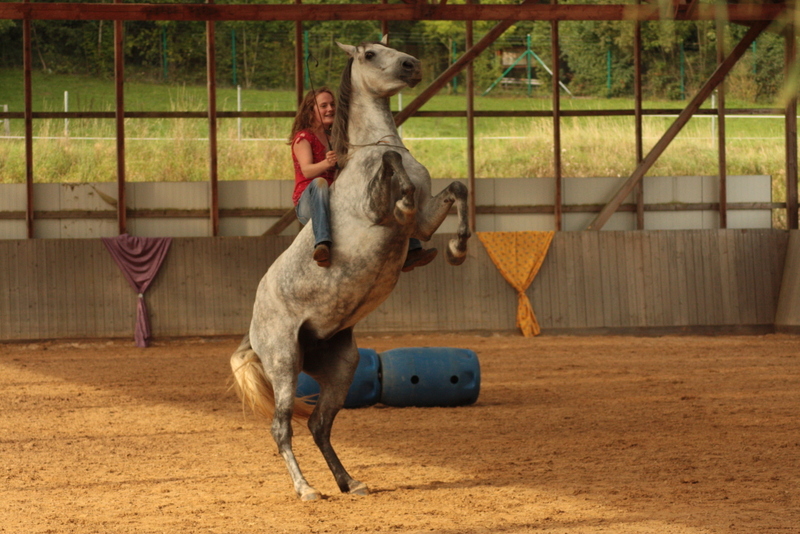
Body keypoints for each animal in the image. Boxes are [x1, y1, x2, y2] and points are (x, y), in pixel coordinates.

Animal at [228, 37, 472, 502]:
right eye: (370, 54)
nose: (412, 65)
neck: (369, 148)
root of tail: (251, 330)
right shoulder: (379, 210)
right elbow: (395, 168)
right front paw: (403, 197)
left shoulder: (425, 222)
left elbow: (458, 190)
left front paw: (456, 248)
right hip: (284, 362)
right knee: (282, 428)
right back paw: (306, 489)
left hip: (341, 366)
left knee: (318, 424)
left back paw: (349, 481)